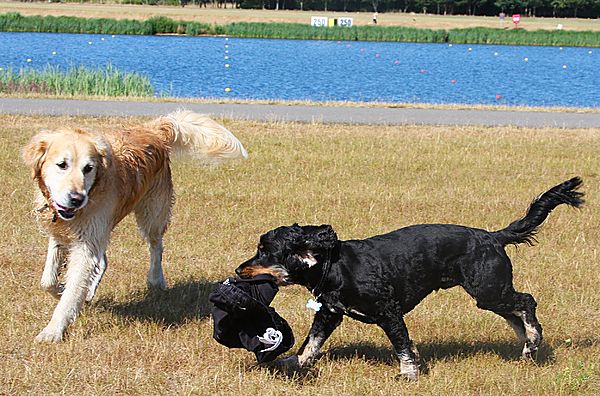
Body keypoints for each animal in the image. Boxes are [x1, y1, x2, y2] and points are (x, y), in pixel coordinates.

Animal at [237, 178, 584, 378]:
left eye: (265, 251)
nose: (240, 270)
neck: (334, 266)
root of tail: (493, 236)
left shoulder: (388, 311)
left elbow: (402, 343)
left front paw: (408, 373)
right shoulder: (329, 314)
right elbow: (311, 343)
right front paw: (295, 363)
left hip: (489, 290)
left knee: (527, 302)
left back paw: (533, 339)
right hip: (491, 295)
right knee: (516, 313)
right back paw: (527, 346)